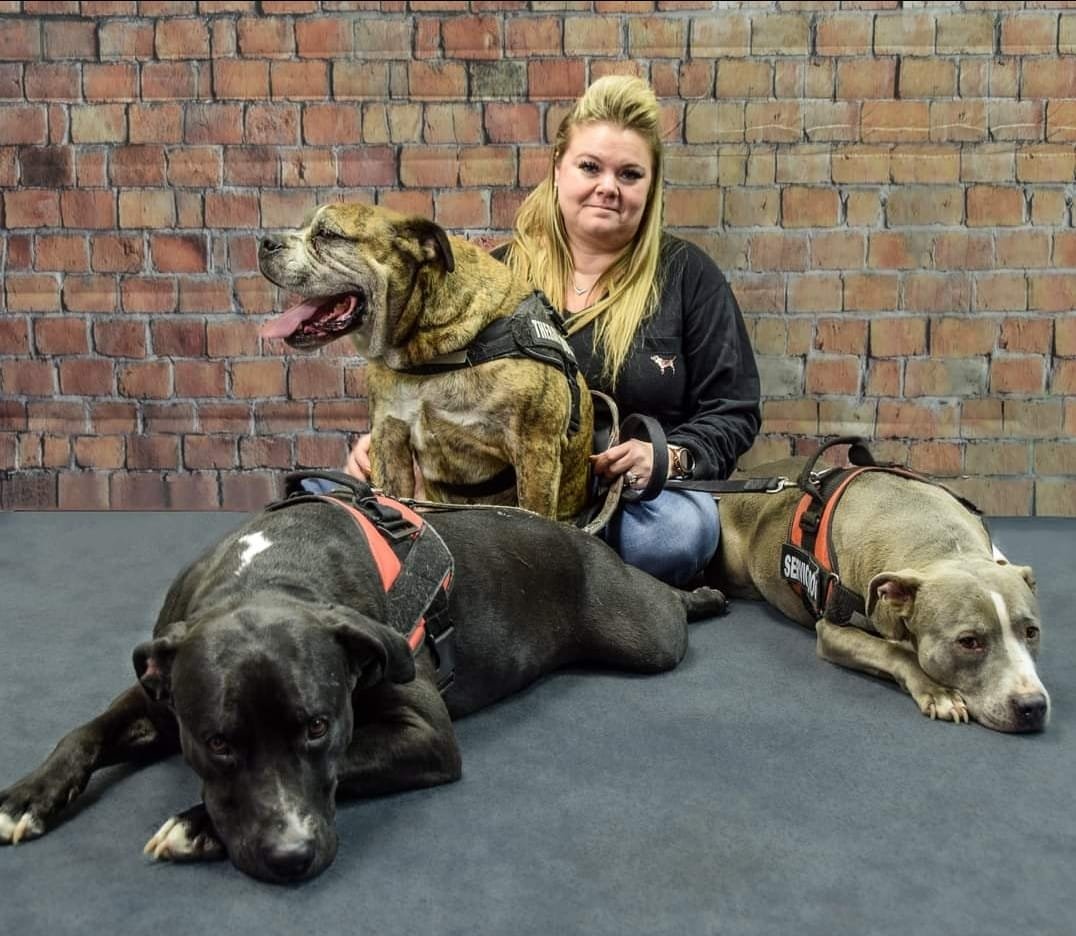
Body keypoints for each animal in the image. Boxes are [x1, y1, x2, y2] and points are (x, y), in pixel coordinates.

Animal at [0, 494, 727, 882]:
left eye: (320, 726)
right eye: (217, 742)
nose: (291, 855)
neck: (266, 578)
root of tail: (578, 533)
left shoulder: (424, 733)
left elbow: (349, 761)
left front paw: (194, 823)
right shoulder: (161, 689)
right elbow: (85, 731)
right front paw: (30, 796)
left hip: (642, 633)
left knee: (666, 603)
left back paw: (705, 594)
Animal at [710, 458, 1045, 735]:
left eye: (1032, 632)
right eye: (969, 642)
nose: (1033, 706)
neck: (940, 545)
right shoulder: (832, 631)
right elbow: (892, 651)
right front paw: (938, 692)